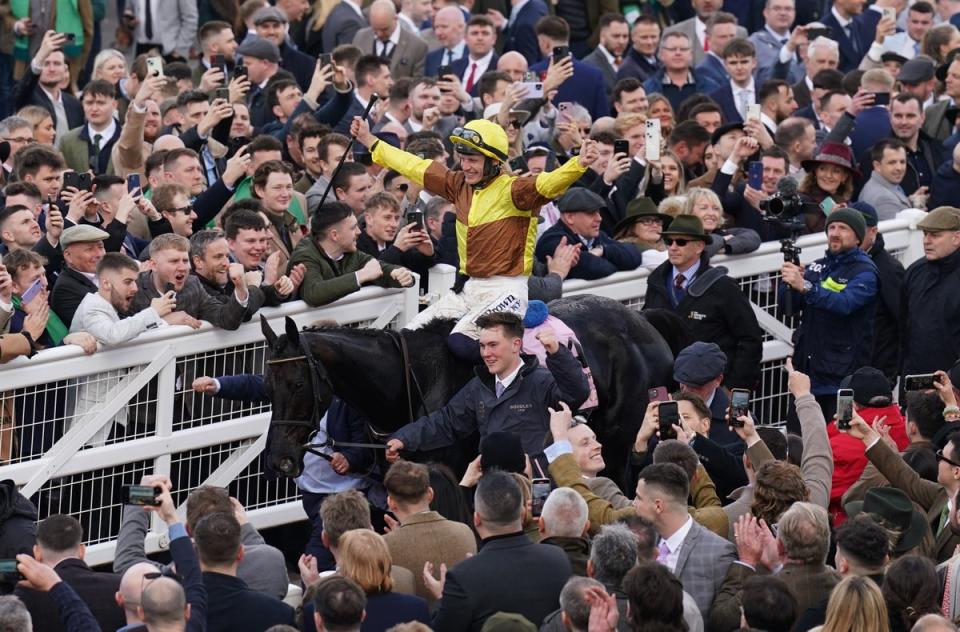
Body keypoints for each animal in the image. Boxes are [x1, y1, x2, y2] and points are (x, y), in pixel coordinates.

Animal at [258, 294, 688, 482]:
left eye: (298, 383)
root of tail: (642, 320)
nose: (279, 461)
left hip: (617, 439)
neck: (411, 379)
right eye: (268, 387)